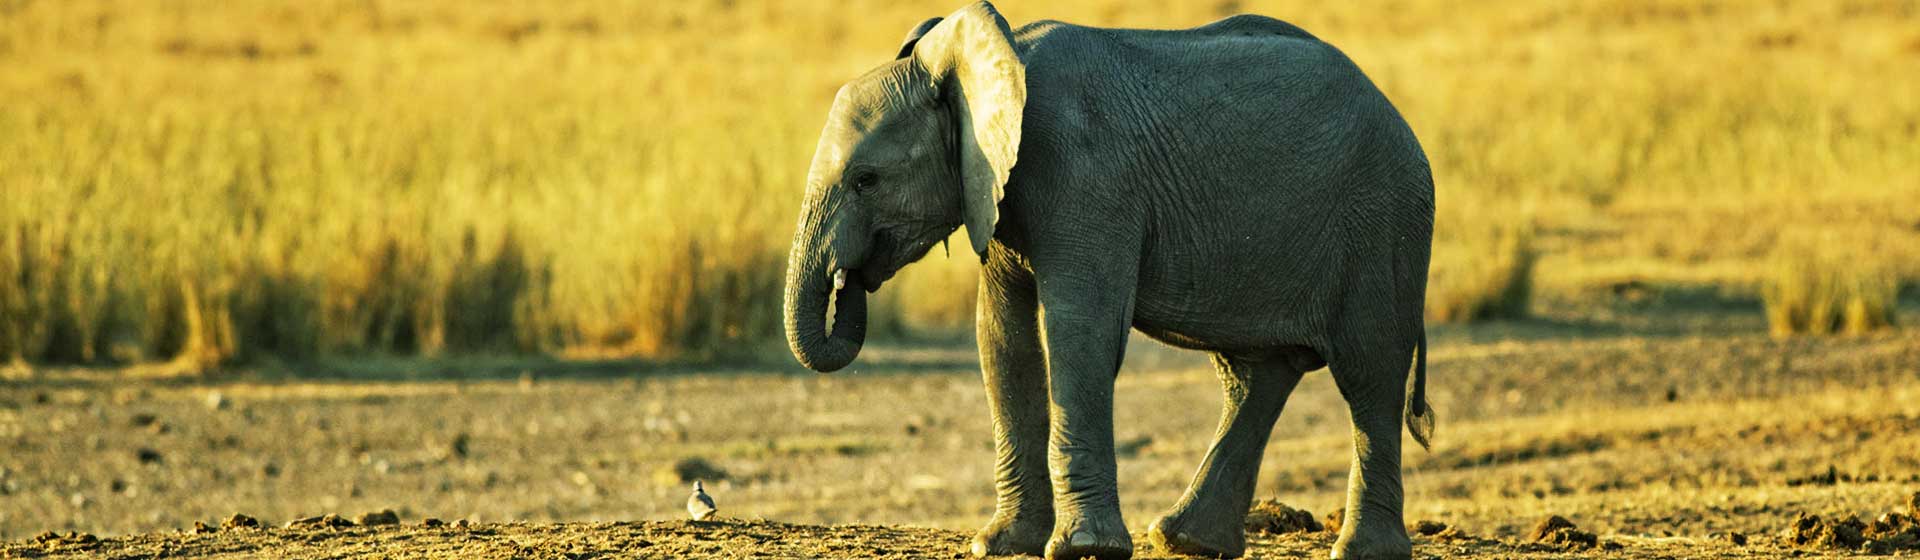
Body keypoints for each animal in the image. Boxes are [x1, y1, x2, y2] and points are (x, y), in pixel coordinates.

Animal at [775, 2, 1428, 556]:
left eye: (865, 180)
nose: (848, 280)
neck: (987, 59)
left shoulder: (1083, 174)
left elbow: (1078, 334)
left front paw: (1083, 549)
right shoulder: (999, 192)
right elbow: (1002, 340)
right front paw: (1000, 544)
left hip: (1382, 223)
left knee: (1368, 372)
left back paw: (1360, 551)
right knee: (1256, 374)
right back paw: (1184, 540)